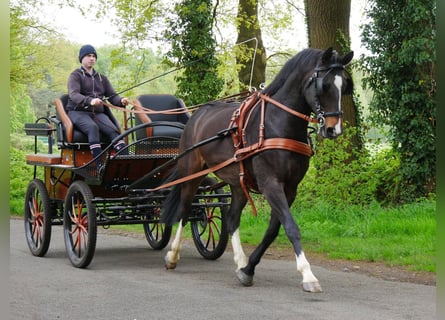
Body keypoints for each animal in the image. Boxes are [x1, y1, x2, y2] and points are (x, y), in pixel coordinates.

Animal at [160, 47, 354, 292]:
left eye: (344, 85)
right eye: (324, 85)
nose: (333, 130)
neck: (278, 124)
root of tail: (197, 115)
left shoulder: (290, 189)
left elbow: (273, 230)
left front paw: (248, 269)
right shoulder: (271, 184)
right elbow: (291, 227)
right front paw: (308, 275)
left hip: (238, 183)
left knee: (232, 219)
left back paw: (240, 260)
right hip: (192, 172)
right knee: (185, 211)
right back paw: (172, 256)